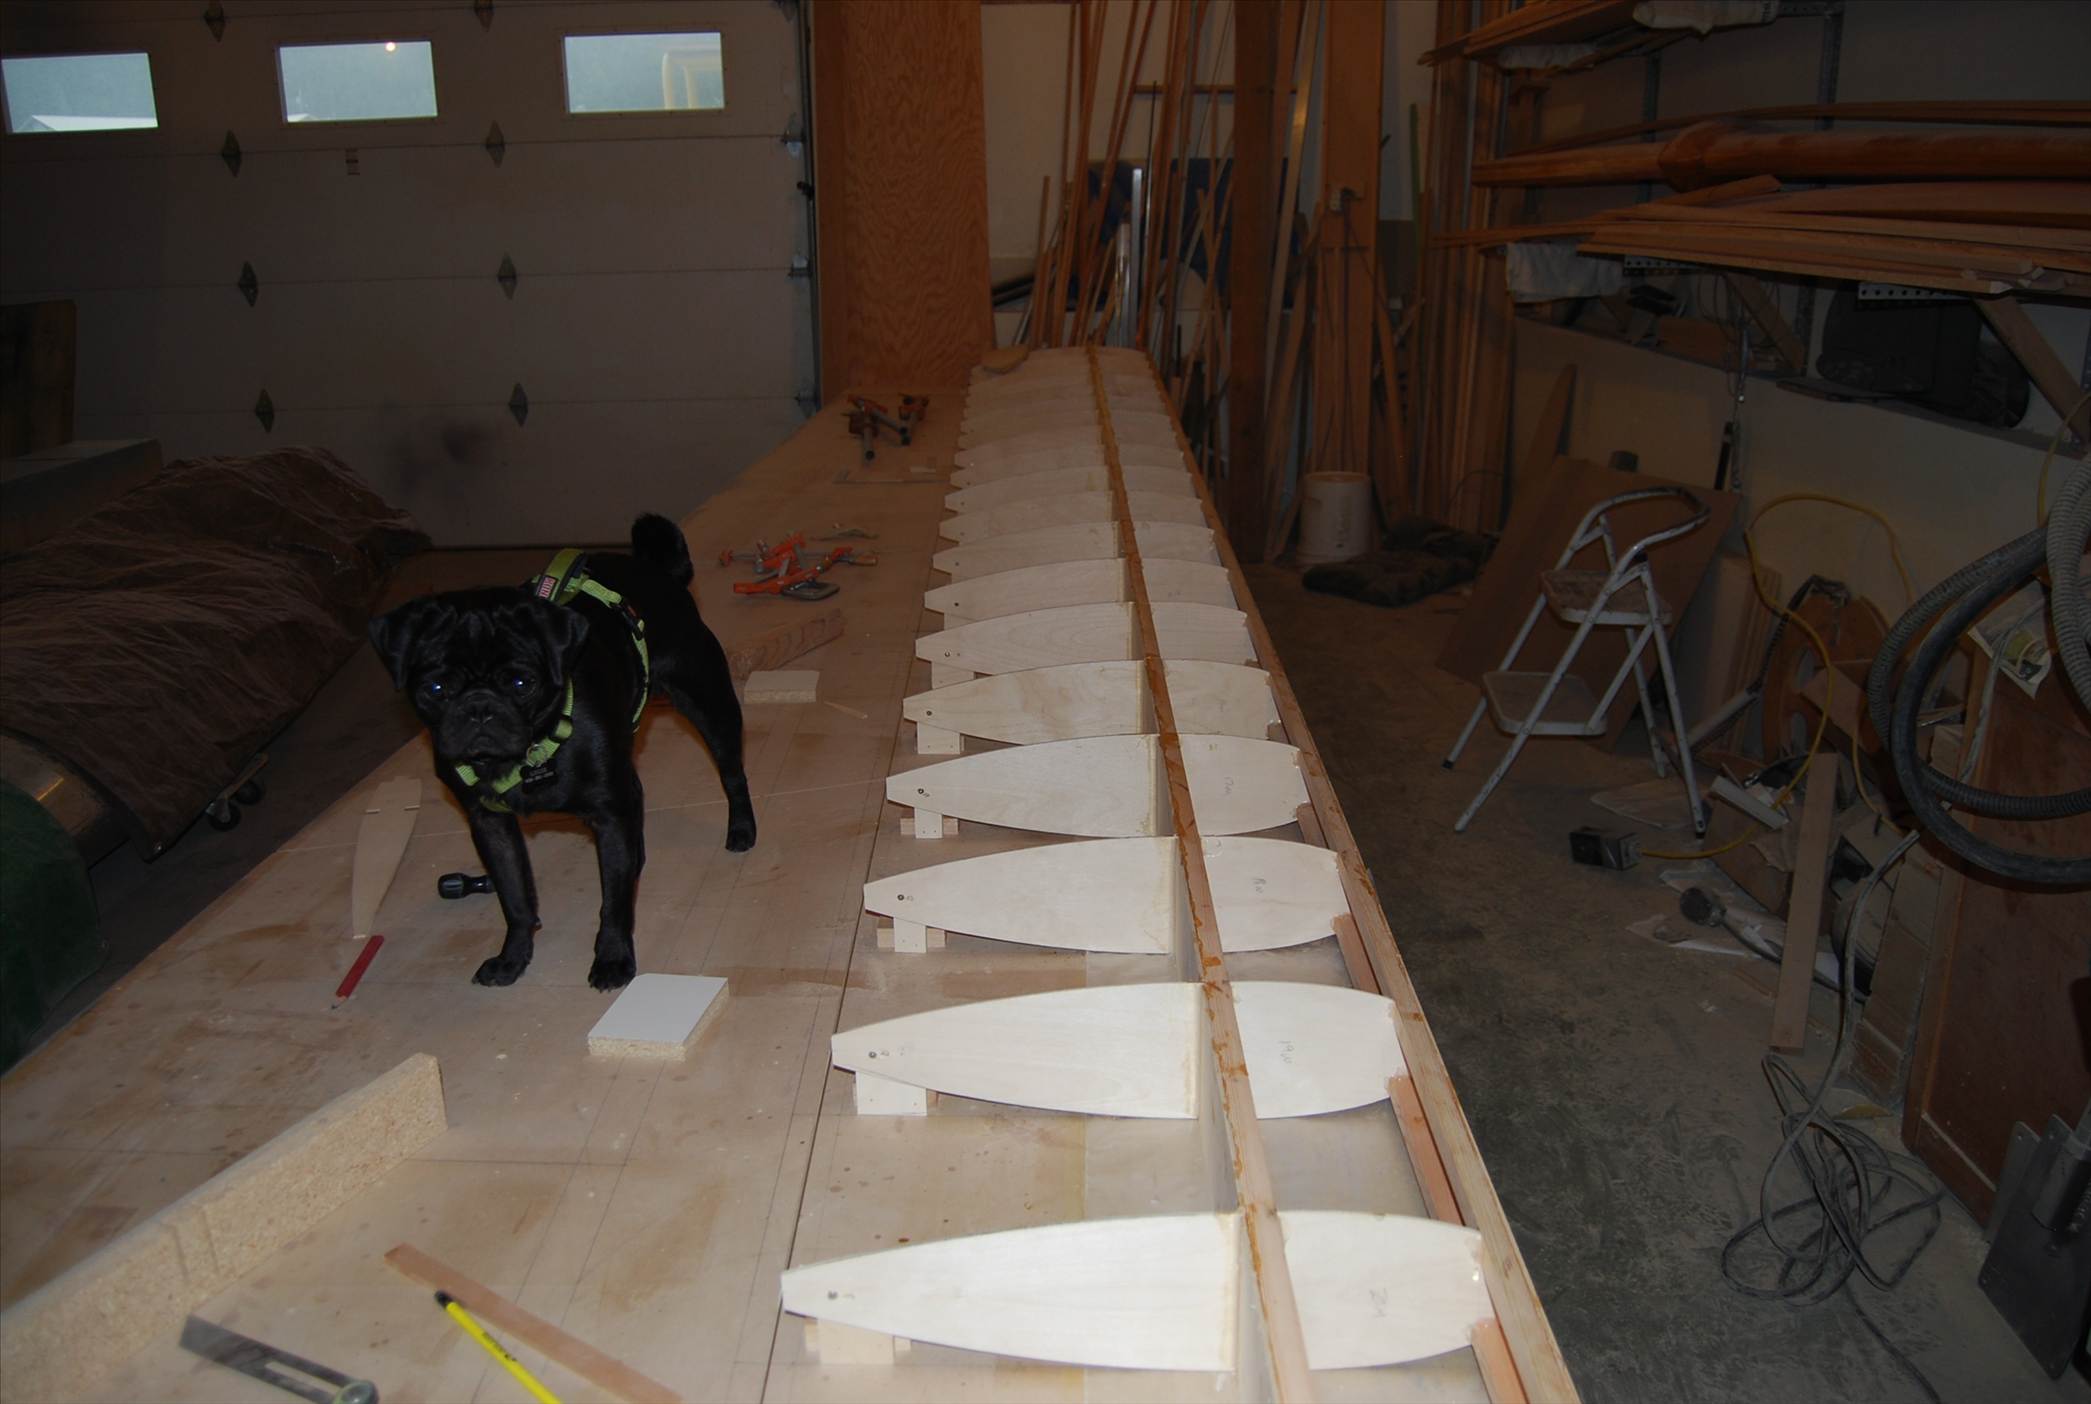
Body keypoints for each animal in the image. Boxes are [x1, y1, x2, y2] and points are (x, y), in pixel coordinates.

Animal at [368, 513, 755, 990]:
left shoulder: (607, 811)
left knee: (731, 773)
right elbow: (516, 898)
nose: (479, 710)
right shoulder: (491, 827)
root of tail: (658, 570)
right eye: (435, 689)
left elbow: (612, 904)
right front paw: (513, 958)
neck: (528, 756)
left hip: (708, 704)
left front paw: (612, 957)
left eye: (522, 683)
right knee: (636, 796)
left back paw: (741, 830)